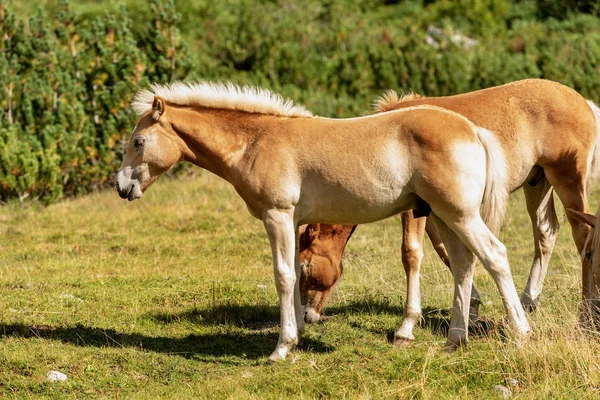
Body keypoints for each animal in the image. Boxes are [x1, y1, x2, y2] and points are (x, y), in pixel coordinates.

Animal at [115, 80, 528, 360]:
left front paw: (282, 347)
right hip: (445, 216)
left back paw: (520, 330)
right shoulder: (294, 221)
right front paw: (297, 330)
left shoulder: (277, 216)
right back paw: (455, 339)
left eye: (138, 142)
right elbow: (294, 275)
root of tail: (473, 129)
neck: (256, 141)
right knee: (463, 264)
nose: (121, 187)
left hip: (459, 214)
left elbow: (283, 275)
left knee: (495, 255)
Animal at [298, 78, 600, 340]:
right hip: (537, 185)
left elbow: (411, 253)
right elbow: (447, 251)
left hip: (568, 184)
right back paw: (528, 301)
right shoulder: (433, 209)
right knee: (546, 233)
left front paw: (407, 327)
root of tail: (585, 103)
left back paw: (585, 318)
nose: (307, 316)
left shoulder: (414, 210)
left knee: (585, 240)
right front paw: (472, 310)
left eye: (304, 265)